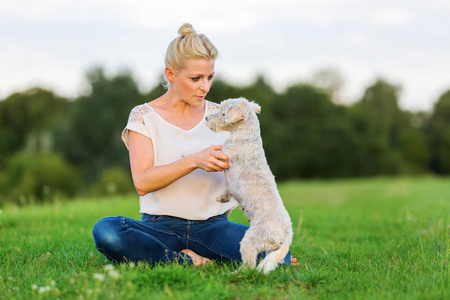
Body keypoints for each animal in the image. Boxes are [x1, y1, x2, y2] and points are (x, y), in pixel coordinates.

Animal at [206, 97, 294, 274]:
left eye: (223, 113)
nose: (206, 118)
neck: (246, 135)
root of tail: (285, 238)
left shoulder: (225, 158)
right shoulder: (230, 179)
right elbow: (228, 187)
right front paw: (223, 198)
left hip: (251, 240)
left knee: (250, 267)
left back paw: (235, 273)